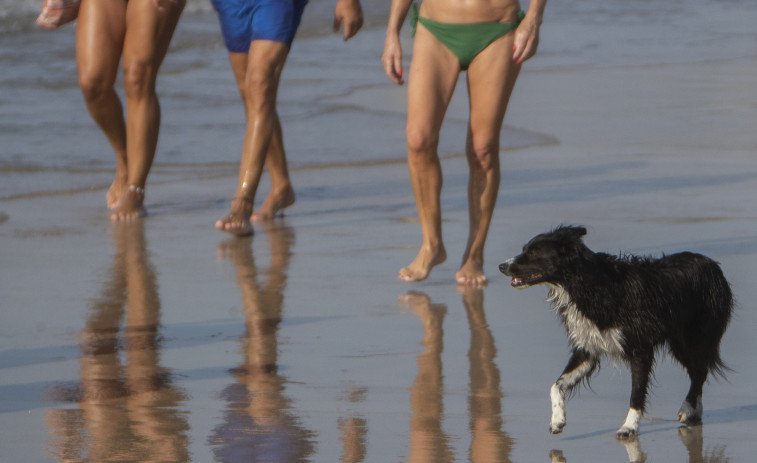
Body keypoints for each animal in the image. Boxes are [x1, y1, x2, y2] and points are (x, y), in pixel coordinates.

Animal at [500, 227, 728, 440]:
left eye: (533, 252)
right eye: (525, 249)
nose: (501, 266)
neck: (584, 284)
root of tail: (711, 264)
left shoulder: (640, 348)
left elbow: (636, 392)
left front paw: (629, 427)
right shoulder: (587, 348)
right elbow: (556, 385)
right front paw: (557, 420)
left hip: (690, 338)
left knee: (699, 371)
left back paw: (688, 408)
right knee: (698, 371)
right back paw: (694, 410)